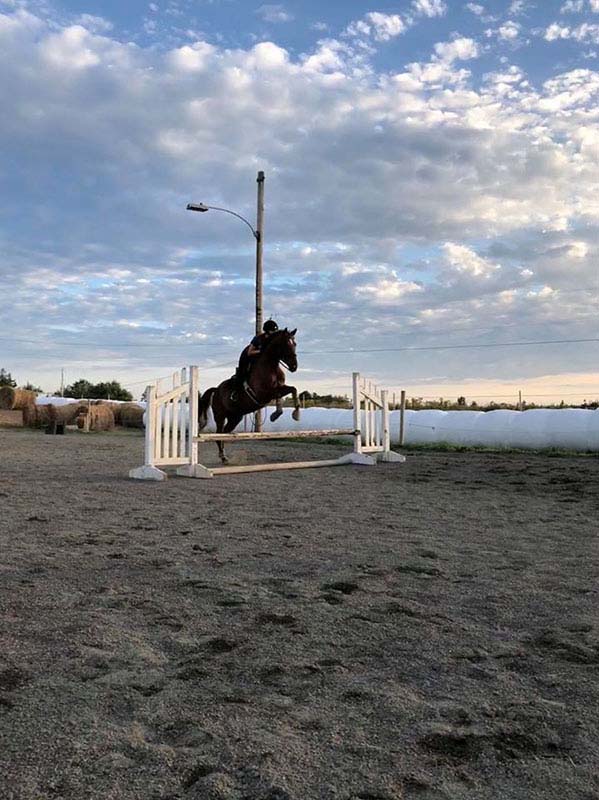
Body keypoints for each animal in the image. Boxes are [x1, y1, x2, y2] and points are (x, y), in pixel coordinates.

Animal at [198, 328, 301, 464]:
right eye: (286, 344)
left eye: (295, 344)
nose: (294, 366)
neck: (270, 366)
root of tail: (216, 390)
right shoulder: (265, 393)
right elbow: (285, 393)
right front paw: (289, 414)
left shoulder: (279, 388)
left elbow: (293, 390)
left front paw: (284, 415)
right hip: (220, 416)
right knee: (218, 434)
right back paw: (222, 456)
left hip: (235, 417)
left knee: (224, 433)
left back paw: (224, 456)